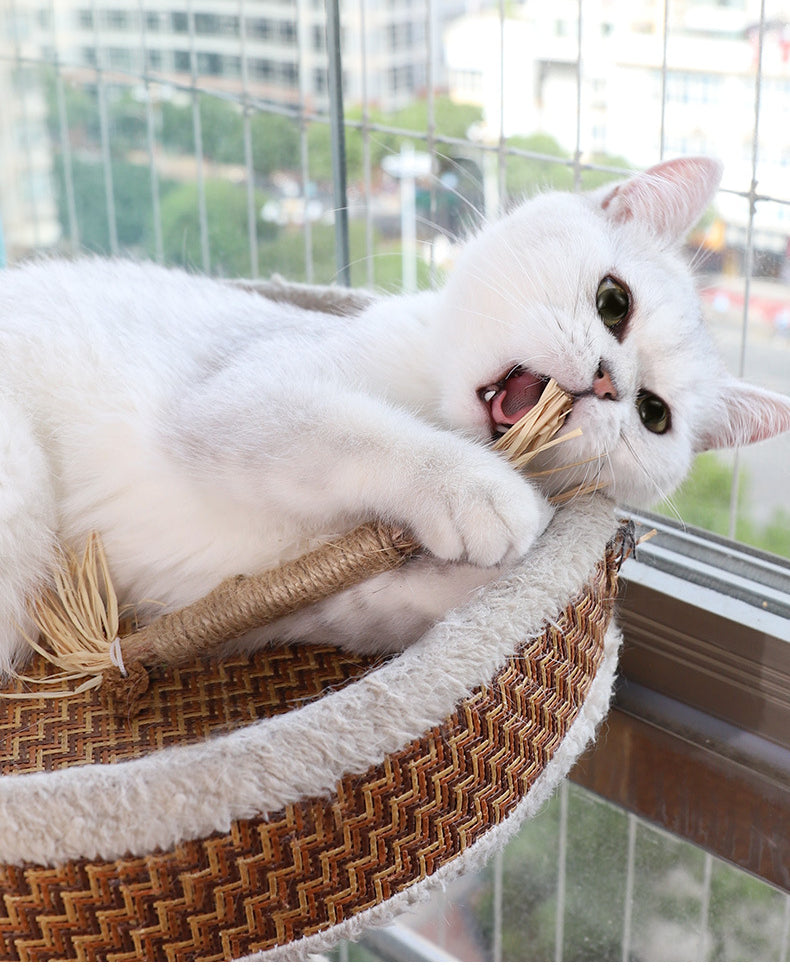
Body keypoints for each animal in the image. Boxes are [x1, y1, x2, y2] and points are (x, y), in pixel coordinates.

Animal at [1, 158, 790, 676]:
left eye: (654, 415)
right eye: (613, 301)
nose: (608, 382)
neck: (428, 397)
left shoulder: (316, 604)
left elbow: (418, 598)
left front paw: (589, 542)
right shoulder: (239, 395)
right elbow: (350, 431)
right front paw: (481, 492)